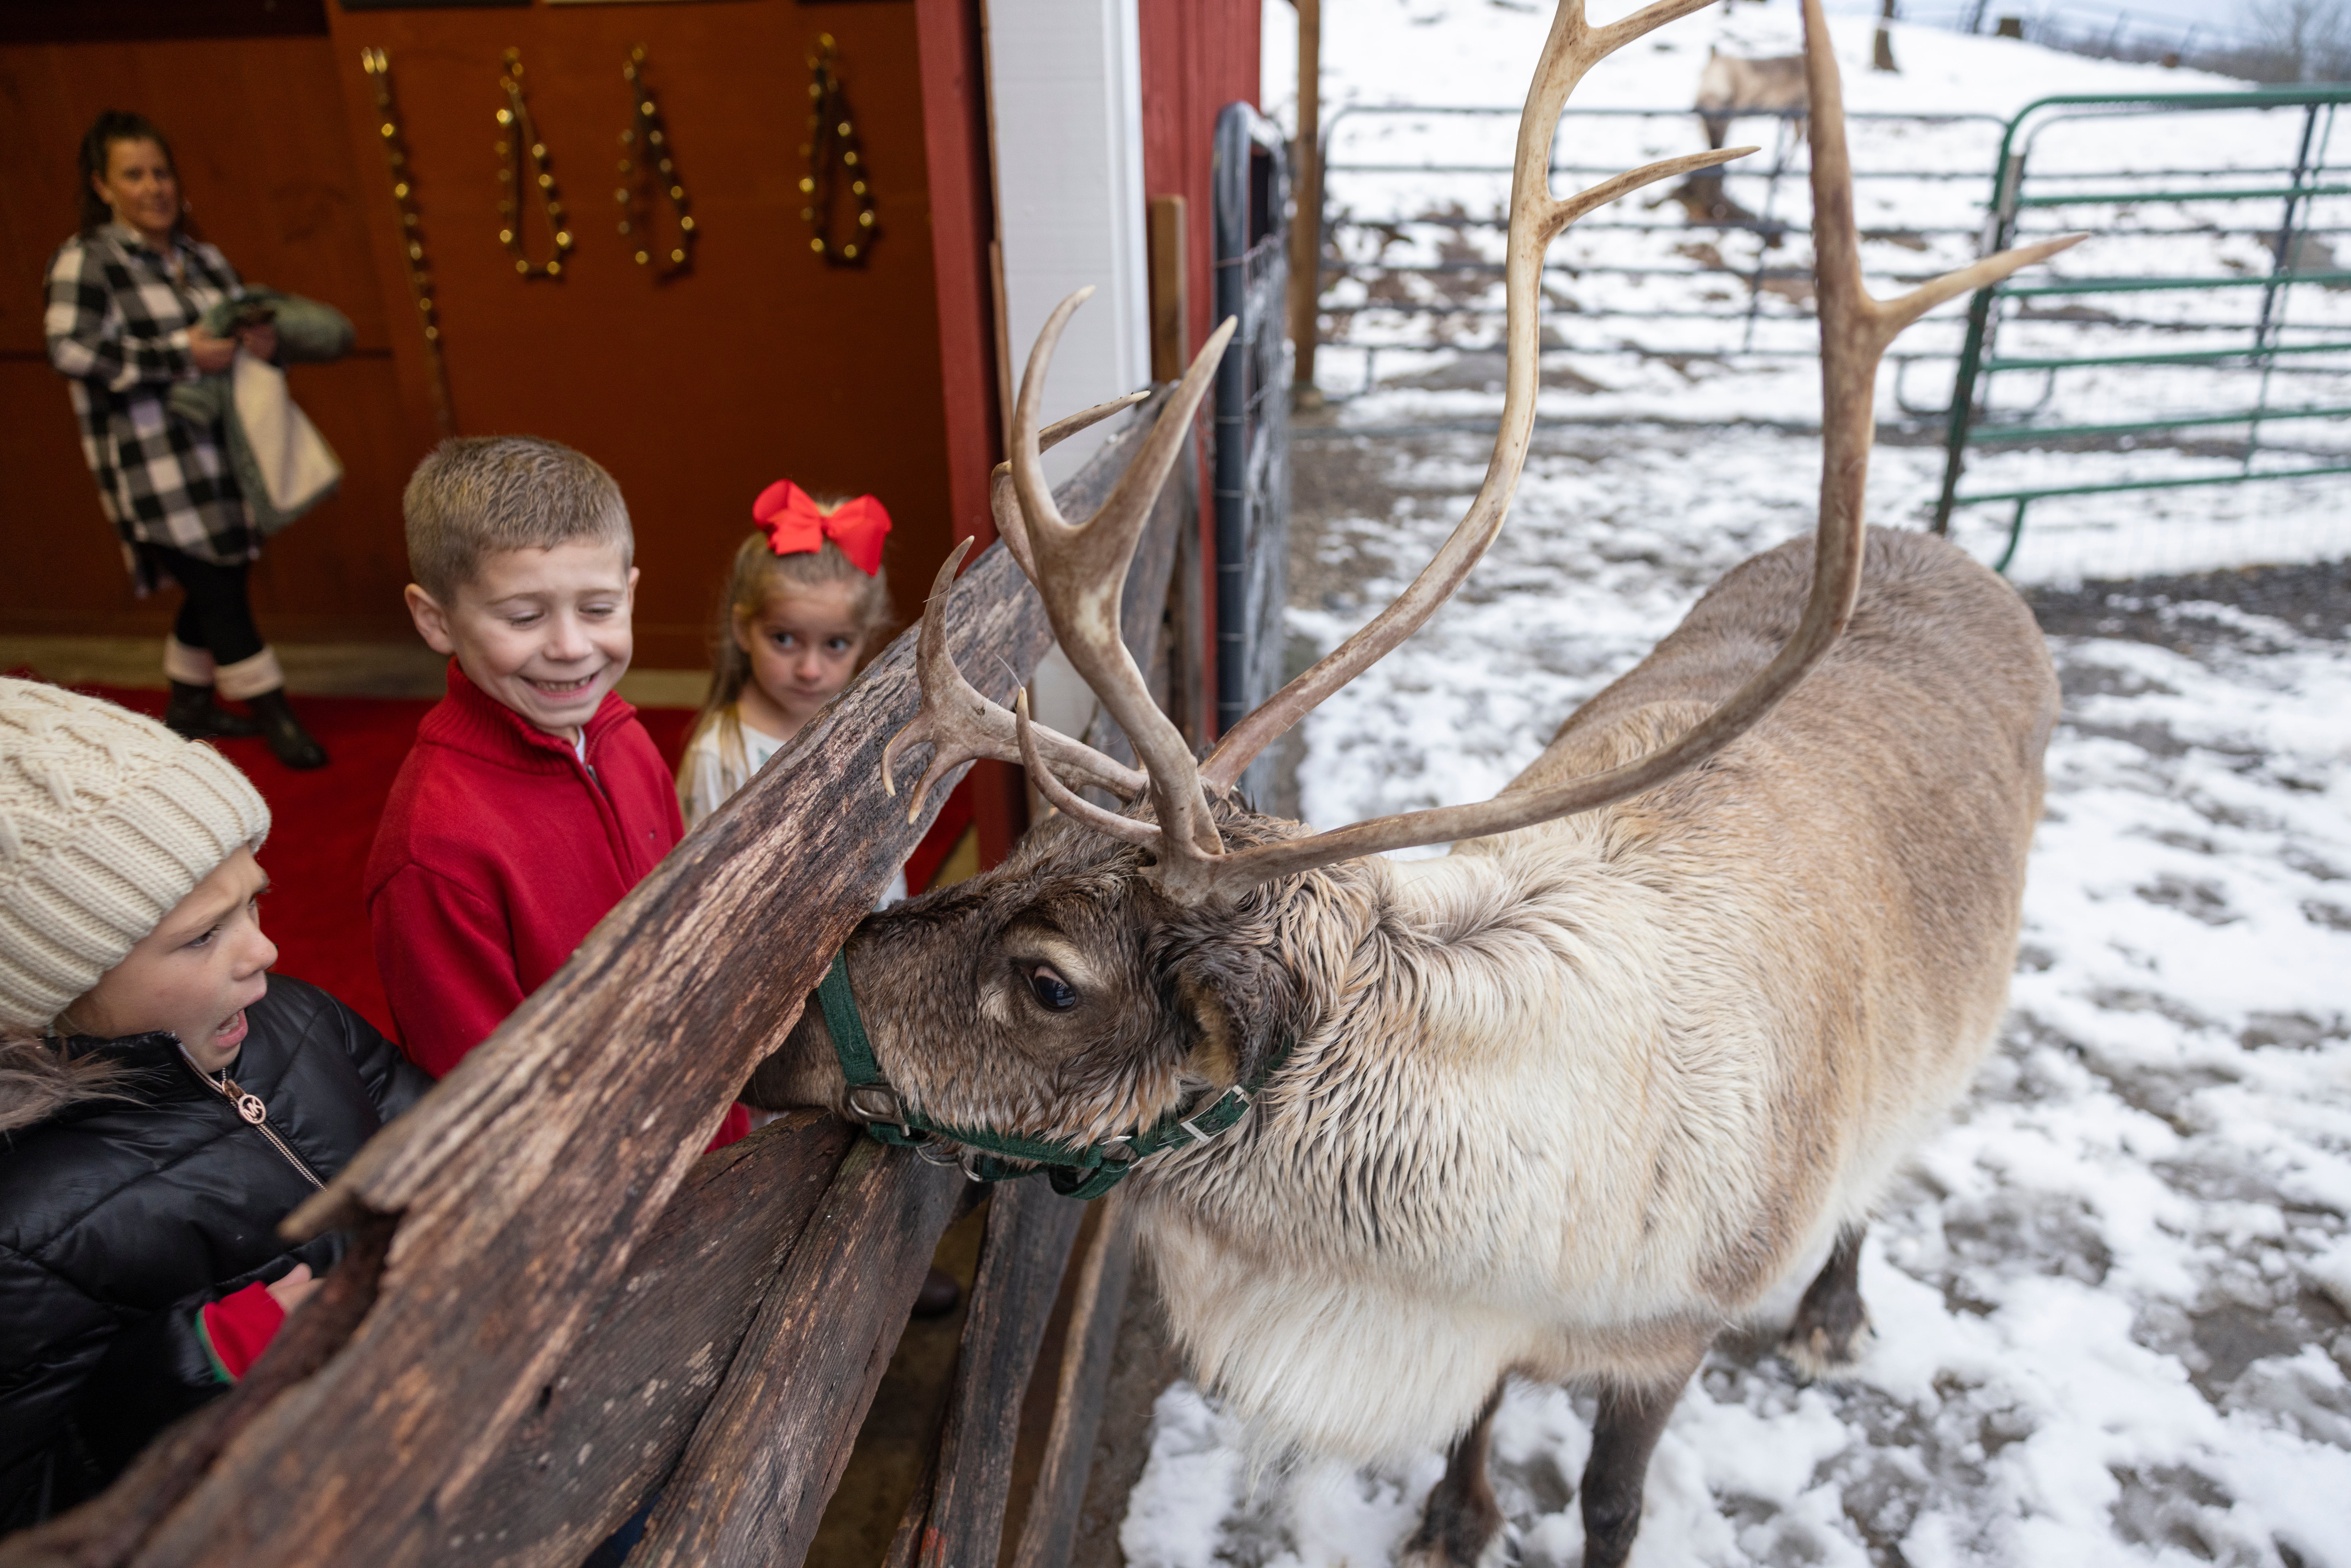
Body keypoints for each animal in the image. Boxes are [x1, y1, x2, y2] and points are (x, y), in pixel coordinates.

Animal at [745, 1, 2073, 1562]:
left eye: (1051, 980)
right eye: (1014, 856)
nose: (775, 1042)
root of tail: (1951, 555)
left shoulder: (1664, 1342)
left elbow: (1612, 1504)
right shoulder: (1473, 1341)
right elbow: (1472, 1420)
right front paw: (1453, 1514)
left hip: (1950, 1040)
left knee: (1895, 1160)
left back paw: (1834, 1310)